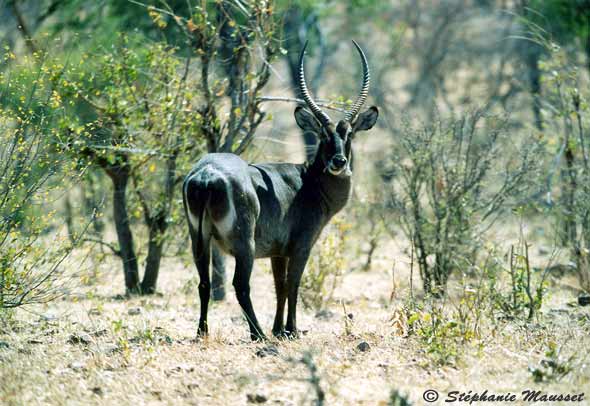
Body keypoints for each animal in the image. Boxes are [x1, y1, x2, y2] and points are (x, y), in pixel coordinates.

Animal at [183, 40, 382, 340]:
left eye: (349, 134)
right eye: (323, 134)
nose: (339, 161)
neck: (308, 183)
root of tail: (206, 174)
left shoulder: (278, 252)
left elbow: (279, 286)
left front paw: (280, 329)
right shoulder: (301, 246)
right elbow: (293, 285)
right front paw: (292, 330)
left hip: (199, 239)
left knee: (204, 283)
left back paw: (202, 332)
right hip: (245, 244)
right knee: (240, 285)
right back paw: (258, 334)